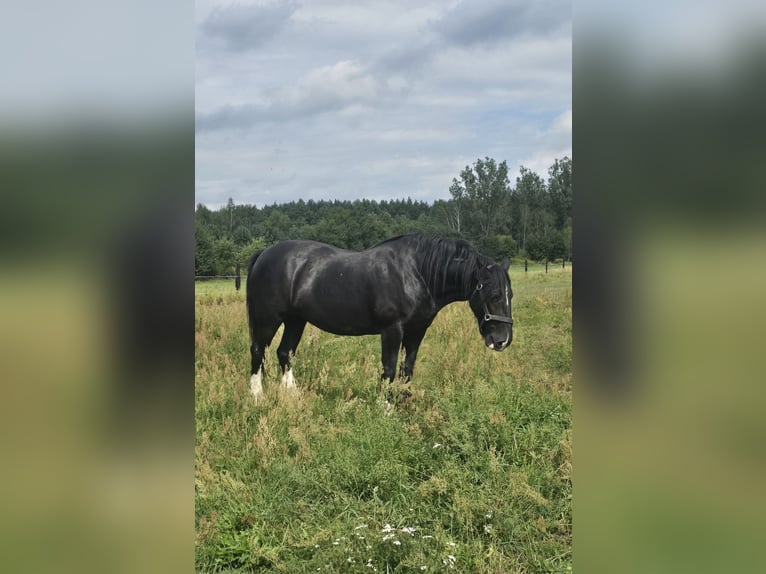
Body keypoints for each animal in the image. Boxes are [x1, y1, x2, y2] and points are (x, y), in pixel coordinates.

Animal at [245, 233, 514, 402]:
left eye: (510, 294)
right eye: (494, 294)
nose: (502, 340)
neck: (416, 273)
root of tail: (263, 254)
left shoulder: (417, 331)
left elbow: (407, 369)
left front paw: (402, 402)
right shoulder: (392, 330)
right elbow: (390, 368)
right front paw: (384, 407)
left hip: (295, 320)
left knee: (285, 352)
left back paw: (292, 395)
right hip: (268, 319)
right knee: (258, 350)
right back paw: (257, 397)